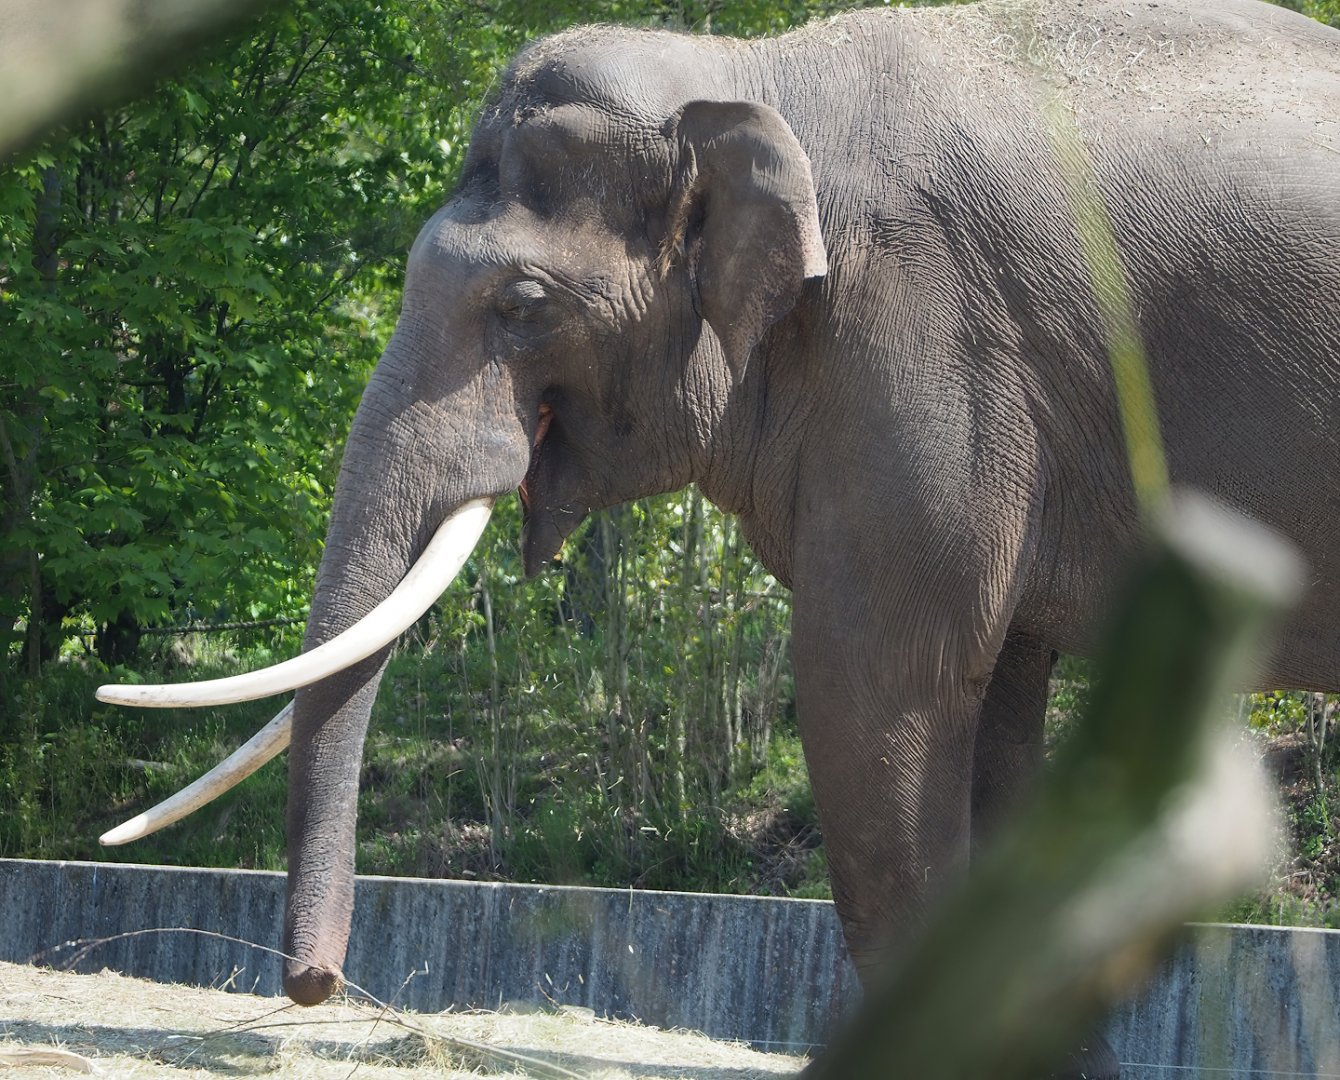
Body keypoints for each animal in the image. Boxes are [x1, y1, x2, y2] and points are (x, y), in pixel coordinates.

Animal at [98, 0, 1339, 1072]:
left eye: (523, 303)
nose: (313, 985)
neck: (750, 76)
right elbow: (996, 713)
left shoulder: (923, 349)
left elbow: (873, 695)